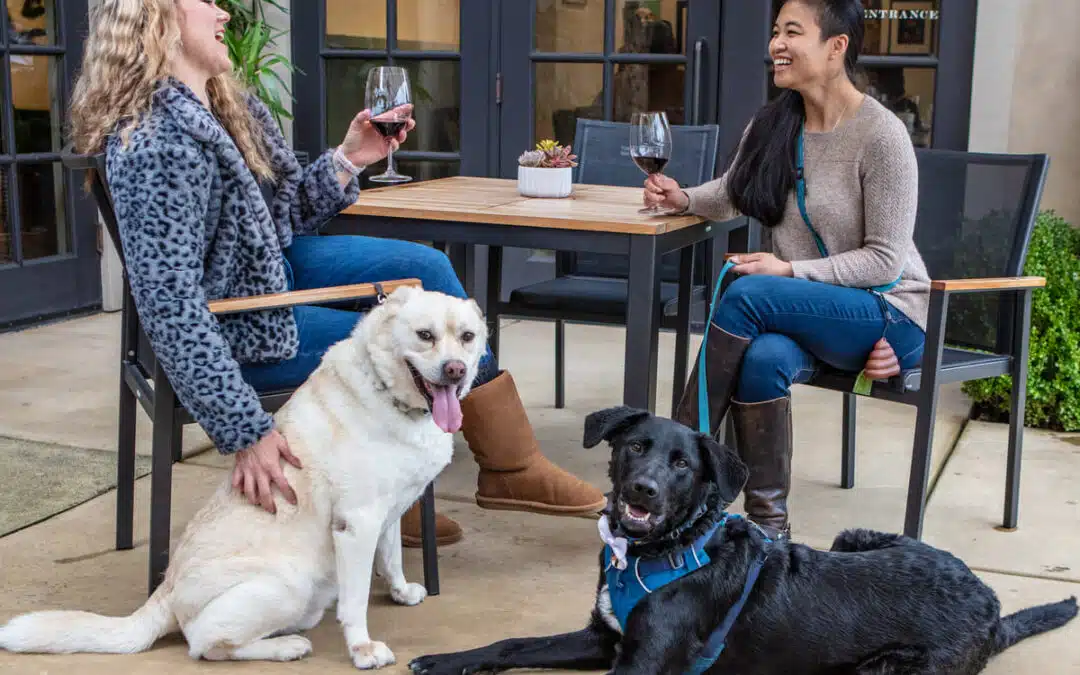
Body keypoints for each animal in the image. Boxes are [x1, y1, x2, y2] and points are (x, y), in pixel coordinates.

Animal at [0, 285, 490, 669]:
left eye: (467, 337)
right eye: (425, 336)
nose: (455, 370)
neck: (390, 396)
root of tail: (165, 592)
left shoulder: (386, 513)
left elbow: (391, 557)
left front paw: (402, 591)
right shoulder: (357, 524)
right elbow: (356, 601)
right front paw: (362, 649)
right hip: (288, 584)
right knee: (203, 643)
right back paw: (286, 647)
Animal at [408, 406, 1075, 673]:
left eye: (683, 465)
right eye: (636, 447)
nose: (644, 491)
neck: (658, 553)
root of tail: (991, 603)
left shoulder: (639, 663)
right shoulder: (604, 639)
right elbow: (511, 643)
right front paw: (445, 660)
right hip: (853, 537)